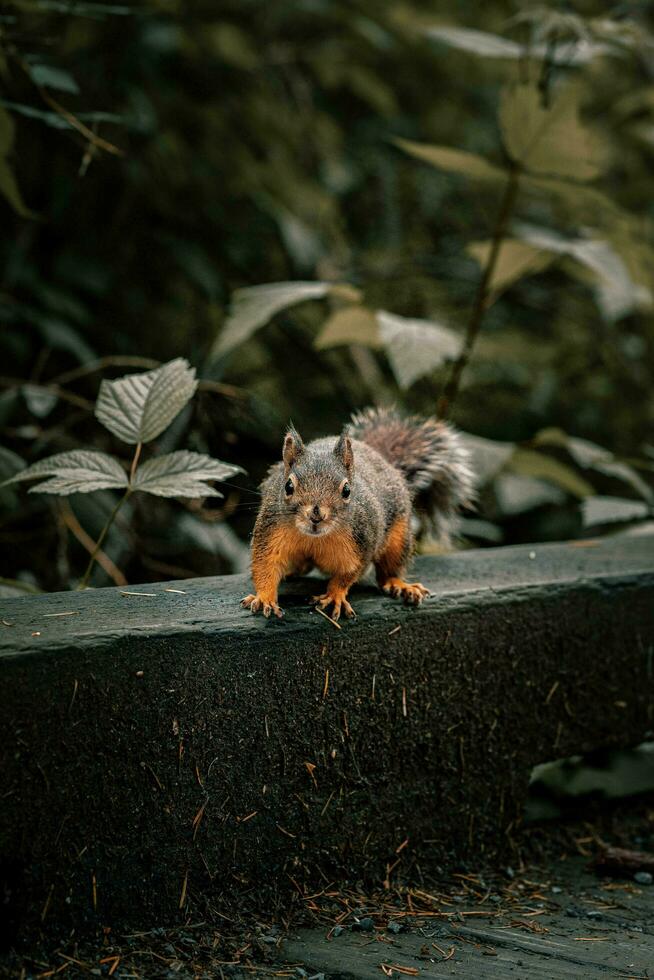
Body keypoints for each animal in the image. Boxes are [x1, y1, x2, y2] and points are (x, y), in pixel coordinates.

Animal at [240, 406, 472, 620]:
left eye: (346, 490)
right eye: (288, 486)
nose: (316, 515)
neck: (315, 538)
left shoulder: (362, 542)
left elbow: (347, 574)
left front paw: (334, 596)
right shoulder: (270, 530)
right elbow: (265, 565)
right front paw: (264, 598)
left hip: (398, 536)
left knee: (390, 569)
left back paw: (399, 584)